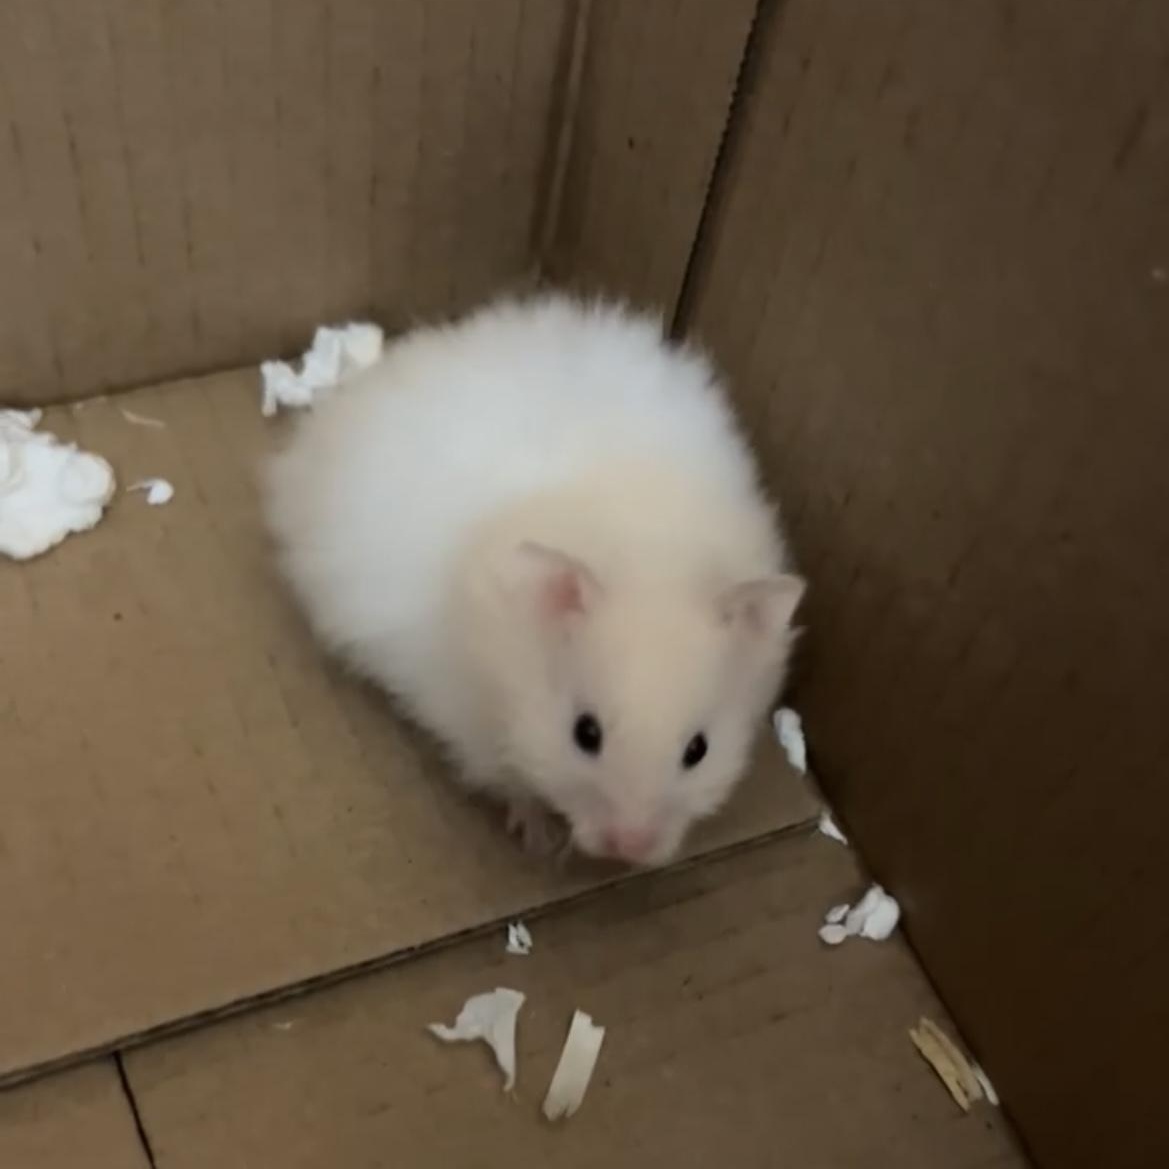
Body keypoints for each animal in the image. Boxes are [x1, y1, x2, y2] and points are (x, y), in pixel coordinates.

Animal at [263, 294, 804, 867]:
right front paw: (536, 838)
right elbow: (513, 783)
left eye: (698, 750)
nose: (629, 848)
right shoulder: (469, 723)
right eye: (585, 733)